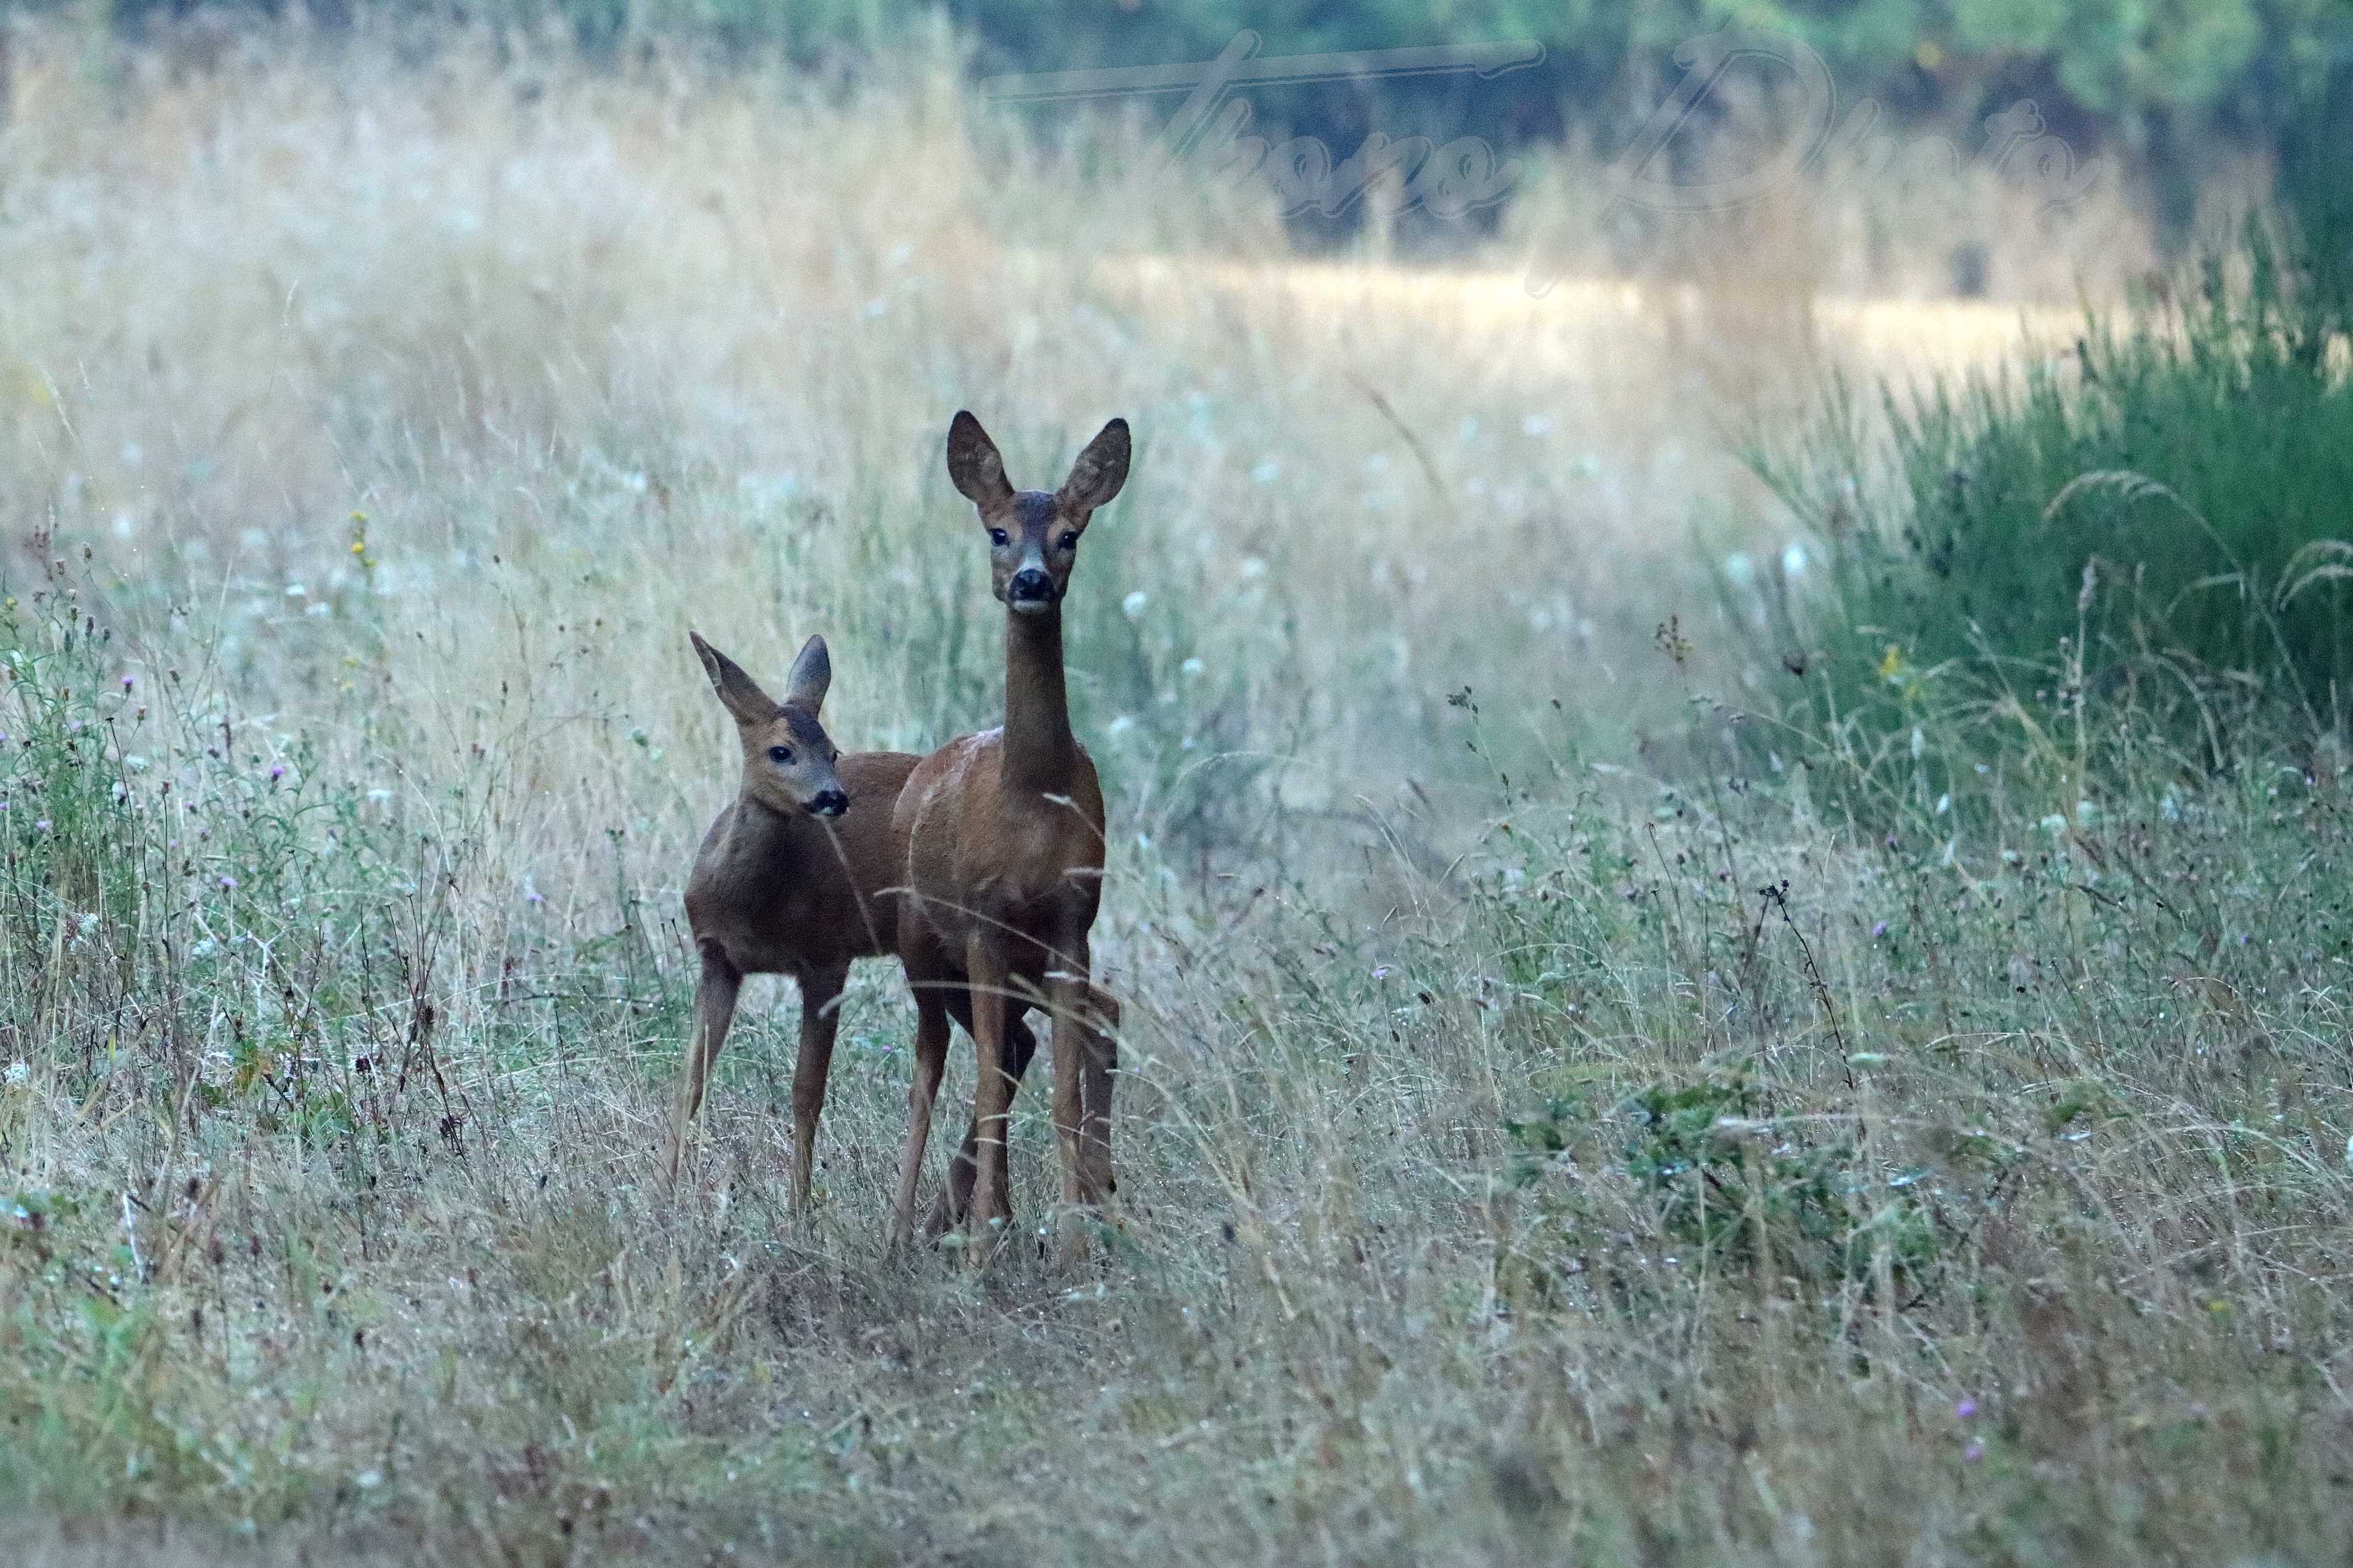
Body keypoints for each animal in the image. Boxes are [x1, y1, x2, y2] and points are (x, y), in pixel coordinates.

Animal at [659, 630, 1035, 1212]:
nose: (833, 796)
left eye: (833, 751)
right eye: (781, 750)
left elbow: (805, 1092)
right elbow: (690, 1079)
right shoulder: (717, 958)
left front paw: (798, 1212)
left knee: (1013, 1045)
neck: (752, 906)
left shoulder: (826, 958)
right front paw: (660, 1196)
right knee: (1019, 1043)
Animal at [889, 411, 1129, 1260]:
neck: (1028, 798)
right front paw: (984, 1244)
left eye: (1069, 535)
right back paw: (908, 1229)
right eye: (996, 532)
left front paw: (1070, 1238)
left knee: (1052, 1039)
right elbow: (987, 1078)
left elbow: (1057, 1085)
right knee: (932, 1068)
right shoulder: (983, 924)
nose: (1029, 581)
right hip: (922, 943)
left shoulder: (1069, 923)